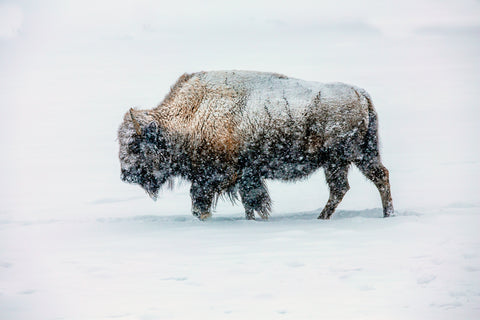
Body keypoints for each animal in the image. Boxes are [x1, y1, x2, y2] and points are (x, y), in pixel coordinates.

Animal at [117, 70, 394, 220]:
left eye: (134, 145)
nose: (125, 175)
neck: (192, 113)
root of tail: (360, 94)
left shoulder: (219, 177)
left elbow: (204, 202)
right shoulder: (246, 177)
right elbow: (251, 202)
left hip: (341, 159)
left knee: (347, 186)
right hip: (355, 157)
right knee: (371, 179)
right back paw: (384, 214)